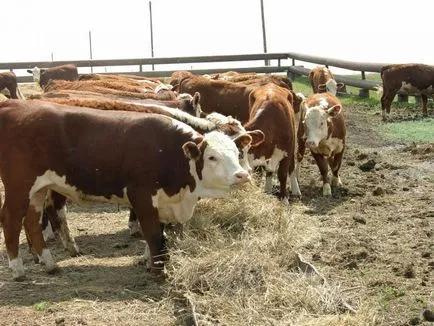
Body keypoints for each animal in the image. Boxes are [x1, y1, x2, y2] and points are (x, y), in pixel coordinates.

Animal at [0, 100, 253, 280]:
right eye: (212, 157)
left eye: (236, 152)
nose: (243, 175)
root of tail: (14, 105)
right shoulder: (141, 195)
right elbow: (154, 235)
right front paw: (158, 271)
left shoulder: (162, 201)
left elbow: (158, 234)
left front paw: (150, 262)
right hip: (19, 186)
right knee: (11, 219)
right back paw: (18, 269)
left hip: (38, 189)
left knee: (31, 221)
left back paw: (49, 264)